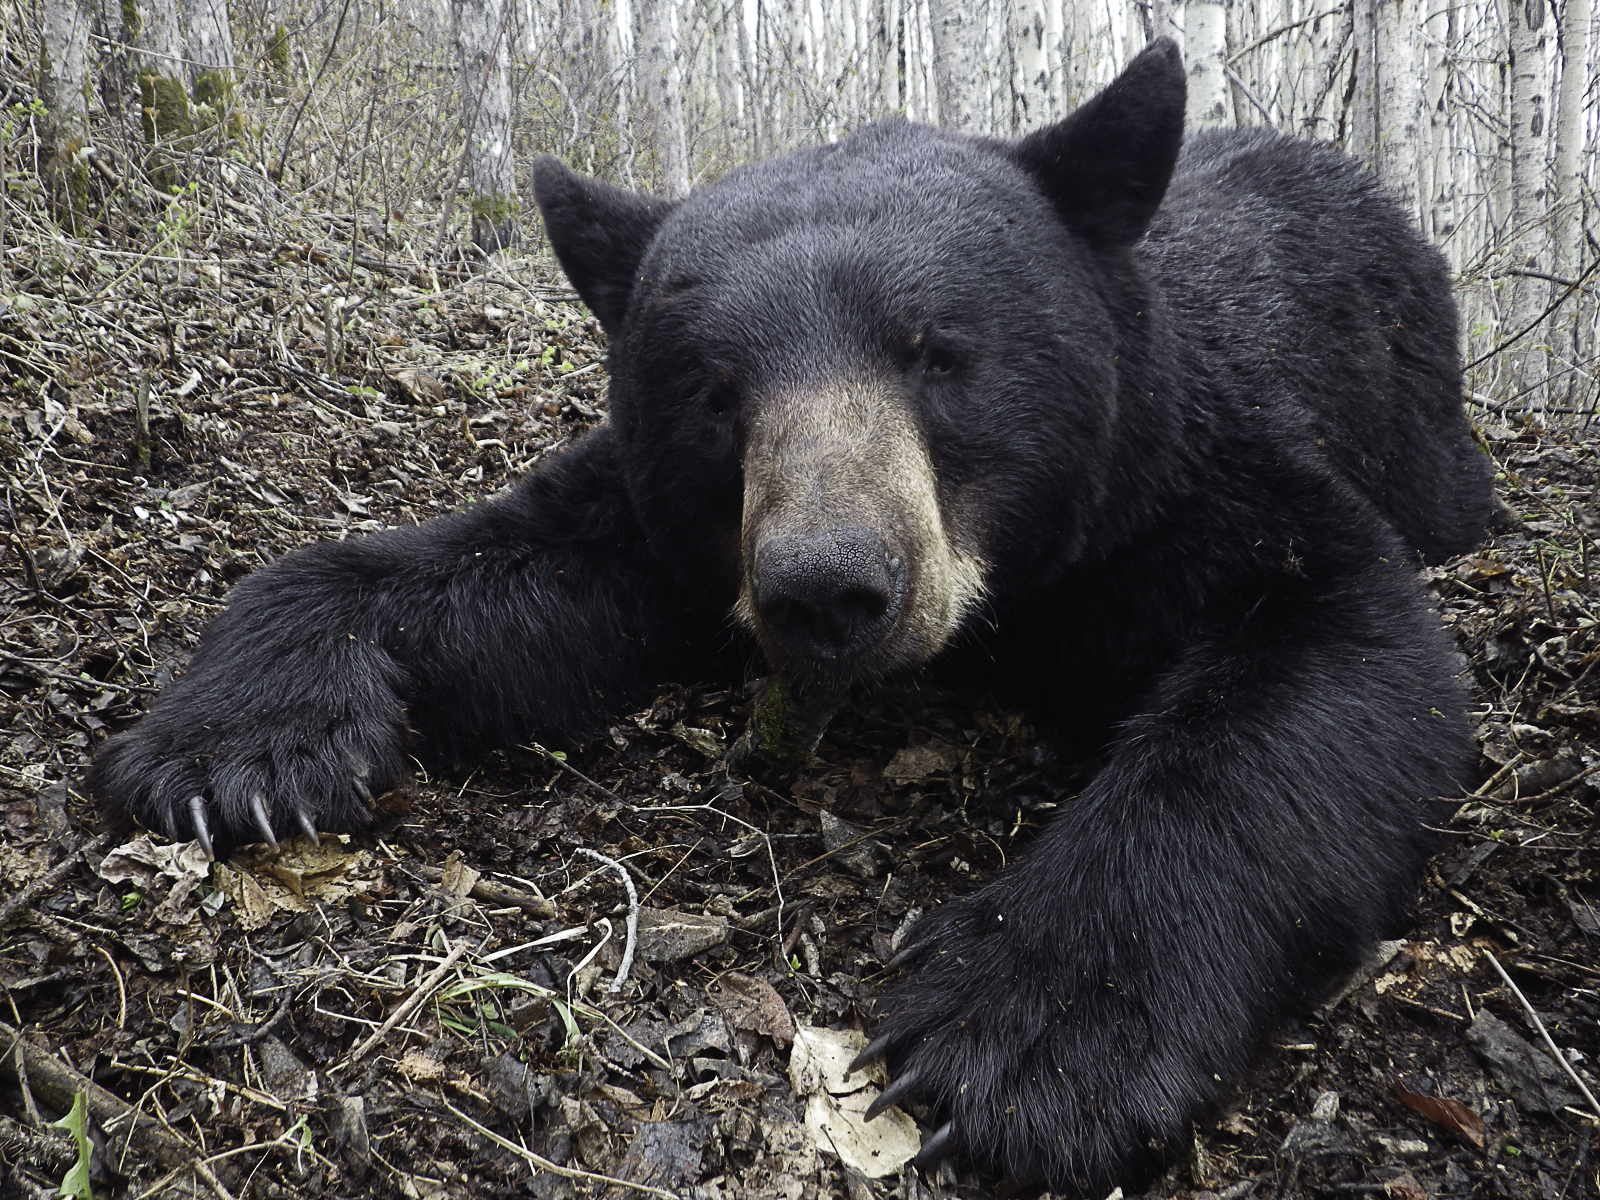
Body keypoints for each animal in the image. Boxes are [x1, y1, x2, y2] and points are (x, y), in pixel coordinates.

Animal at [90, 37, 1484, 1196]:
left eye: (938, 350)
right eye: (716, 388)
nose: (827, 588)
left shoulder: (1186, 496)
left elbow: (1341, 659)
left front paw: (1027, 1031)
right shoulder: (660, 528)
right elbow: (480, 573)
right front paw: (235, 752)